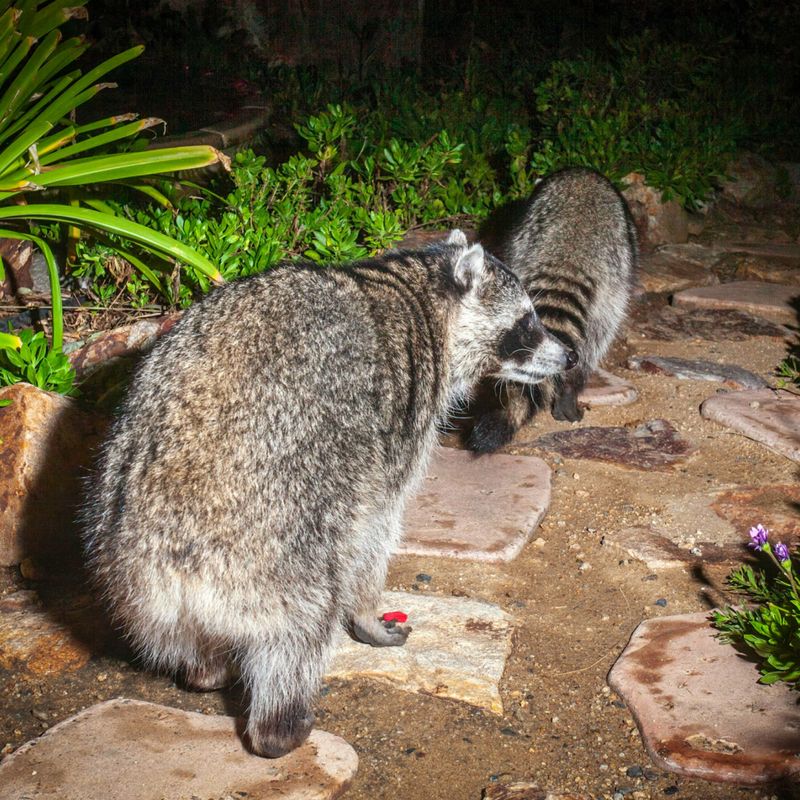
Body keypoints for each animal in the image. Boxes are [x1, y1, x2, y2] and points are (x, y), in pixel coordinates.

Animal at [82, 231, 573, 759]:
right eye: (526, 323)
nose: (569, 357)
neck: (416, 290)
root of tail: (172, 562)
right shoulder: (394, 425)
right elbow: (375, 528)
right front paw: (367, 614)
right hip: (273, 559)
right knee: (302, 626)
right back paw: (280, 725)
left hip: (136, 587)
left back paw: (205, 671)